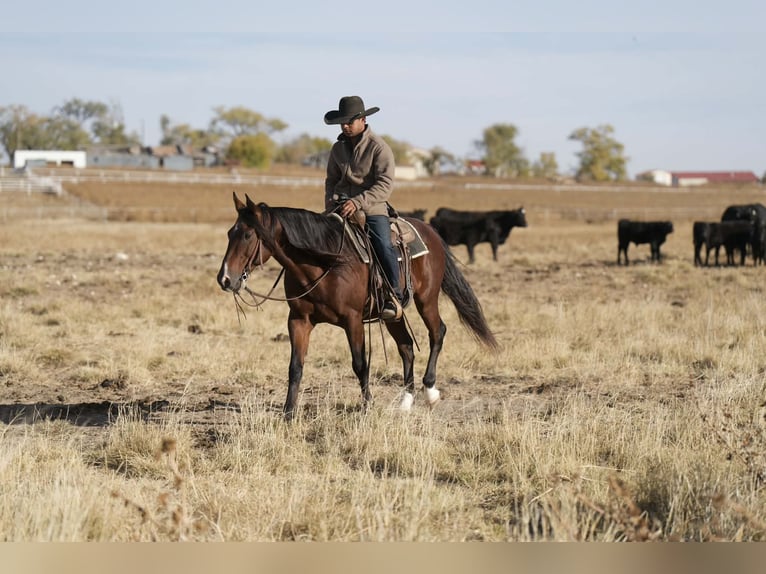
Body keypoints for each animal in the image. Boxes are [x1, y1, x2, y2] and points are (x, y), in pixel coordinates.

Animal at [217, 193, 498, 419]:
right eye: (230, 233)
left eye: (247, 235)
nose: (225, 279)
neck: (325, 263)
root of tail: (429, 231)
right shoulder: (298, 320)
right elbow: (295, 367)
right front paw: (288, 413)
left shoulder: (352, 321)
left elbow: (360, 364)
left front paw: (367, 406)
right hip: (393, 313)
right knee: (406, 346)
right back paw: (406, 401)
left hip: (426, 299)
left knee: (437, 332)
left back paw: (430, 391)